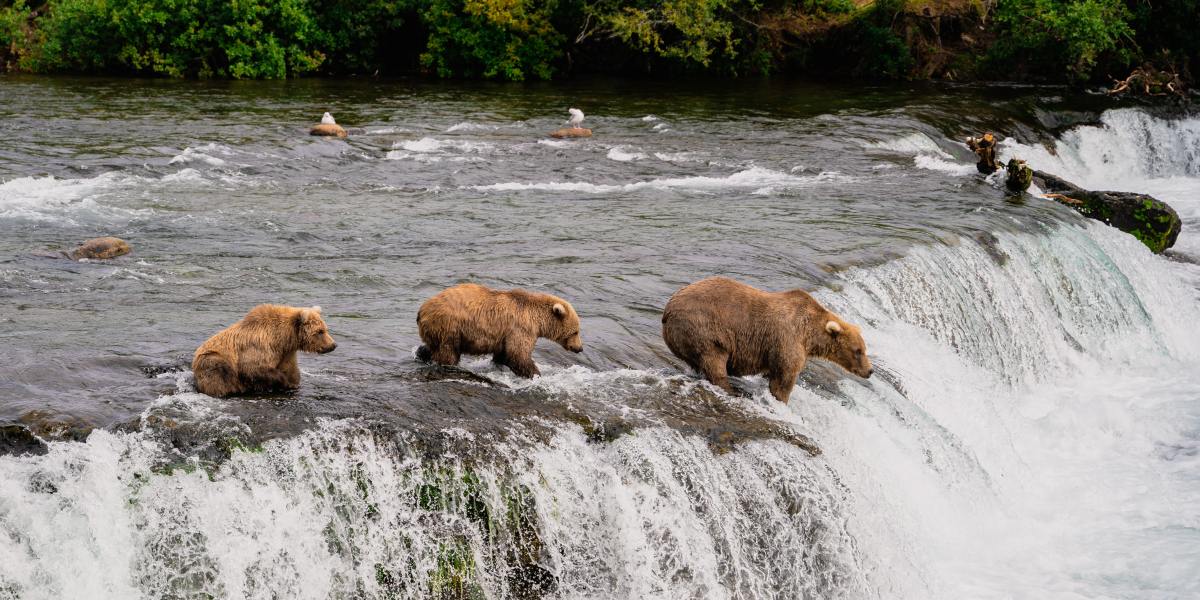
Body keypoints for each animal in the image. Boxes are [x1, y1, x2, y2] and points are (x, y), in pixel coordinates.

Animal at [192, 304, 337, 397]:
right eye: (320, 331)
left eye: (325, 329)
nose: (333, 345)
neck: (284, 338)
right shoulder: (259, 347)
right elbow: (254, 367)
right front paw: (282, 382)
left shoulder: (286, 353)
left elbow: (291, 371)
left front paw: (292, 384)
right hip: (212, 359)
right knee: (219, 371)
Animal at [416, 283, 583, 378]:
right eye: (575, 331)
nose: (579, 348)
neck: (537, 319)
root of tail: (422, 309)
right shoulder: (521, 328)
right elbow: (518, 354)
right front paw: (535, 374)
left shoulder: (505, 335)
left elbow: (504, 354)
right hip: (450, 326)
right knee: (448, 352)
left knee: (433, 346)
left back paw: (422, 354)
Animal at [661, 277, 872, 404]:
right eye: (858, 351)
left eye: (863, 349)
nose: (870, 371)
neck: (810, 335)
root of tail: (667, 310)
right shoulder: (788, 339)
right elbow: (784, 377)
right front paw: (781, 400)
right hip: (703, 328)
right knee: (713, 359)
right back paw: (732, 390)